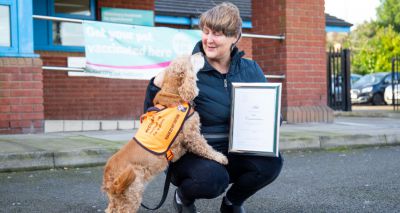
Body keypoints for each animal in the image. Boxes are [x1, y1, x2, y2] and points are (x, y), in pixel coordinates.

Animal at [101, 52, 230, 212]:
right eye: (190, 58)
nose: (201, 53)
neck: (174, 94)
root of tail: (108, 178)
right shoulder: (192, 135)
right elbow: (206, 148)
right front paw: (221, 157)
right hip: (131, 195)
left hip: (118, 199)